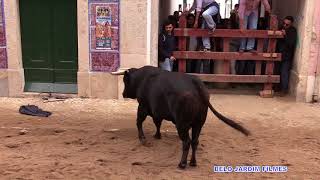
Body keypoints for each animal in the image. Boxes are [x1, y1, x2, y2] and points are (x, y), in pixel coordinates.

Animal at [112, 65, 250, 169]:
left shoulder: (143, 106)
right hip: (199, 123)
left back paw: (182, 164)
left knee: (187, 142)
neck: (142, 79)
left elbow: (139, 122)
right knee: (194, 141)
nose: (123, 94)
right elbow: (157, 123)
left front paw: (143, 139)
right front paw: (157, 135)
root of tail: (196, 83)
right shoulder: (158, 112)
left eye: (125, 80)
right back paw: (193, 162)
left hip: (182, 124)